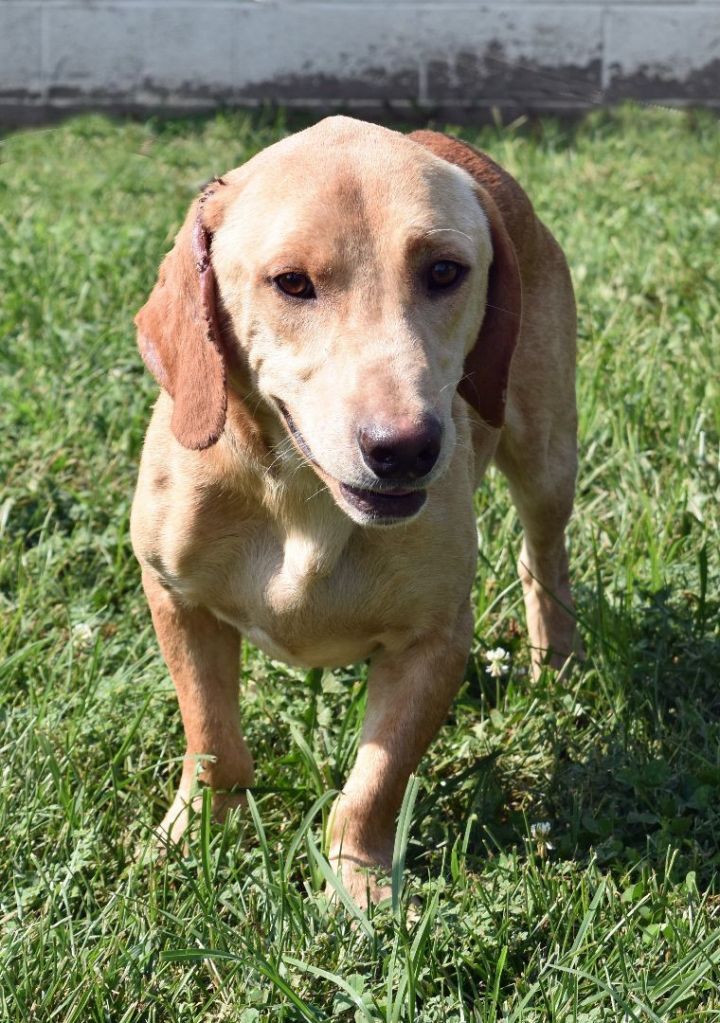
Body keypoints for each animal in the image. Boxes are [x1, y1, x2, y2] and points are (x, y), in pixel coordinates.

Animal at [129, 116, 580, 908]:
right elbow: (212, 738)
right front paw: (193, 836)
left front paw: (358, 882)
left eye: (444, 272)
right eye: (292, 283)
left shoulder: (434, 640)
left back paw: (554, 657)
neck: (298, 494)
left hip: (547, 455)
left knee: (543, 558)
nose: (406, 448)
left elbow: (375, 782)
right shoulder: (174, 597)